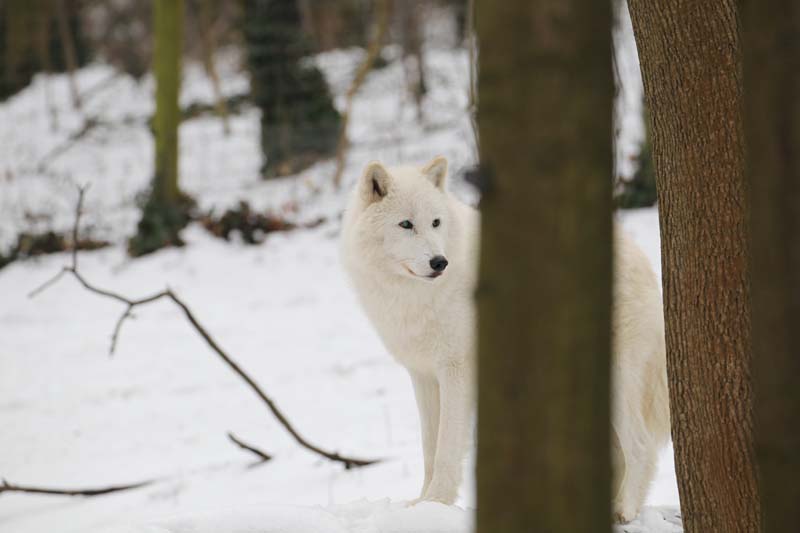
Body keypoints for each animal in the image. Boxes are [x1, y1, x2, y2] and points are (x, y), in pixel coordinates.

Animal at [340, 156, 671, 522]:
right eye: (406, 224)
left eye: (435, 222)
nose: (440, 262)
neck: (415, 296)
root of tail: (644, 262)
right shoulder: (423, 376)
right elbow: (429, 448)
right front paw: (423, 504)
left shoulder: (456, 371)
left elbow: (445, 450)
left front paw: (437, 502)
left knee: (641, 446)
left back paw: (623, 509)